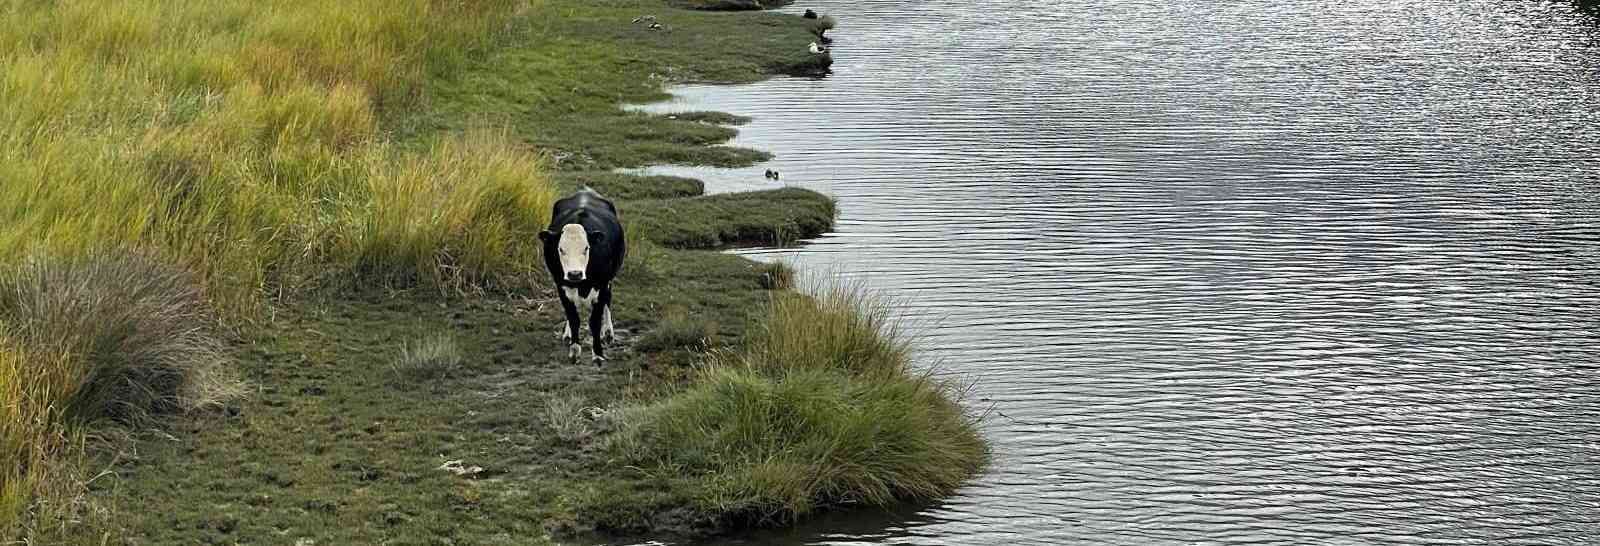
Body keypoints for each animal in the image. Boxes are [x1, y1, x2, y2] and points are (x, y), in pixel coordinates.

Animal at [544, 188, 630, 363]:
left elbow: (595, 321)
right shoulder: (561, 284)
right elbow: (573, 317)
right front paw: (574, 349)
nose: (574, 274)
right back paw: (568, 334)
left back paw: (608, 333)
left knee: (608, 300)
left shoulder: (602, 284)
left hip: (609, 279)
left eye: (586, 248)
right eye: (561, 249)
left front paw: (598, 354)